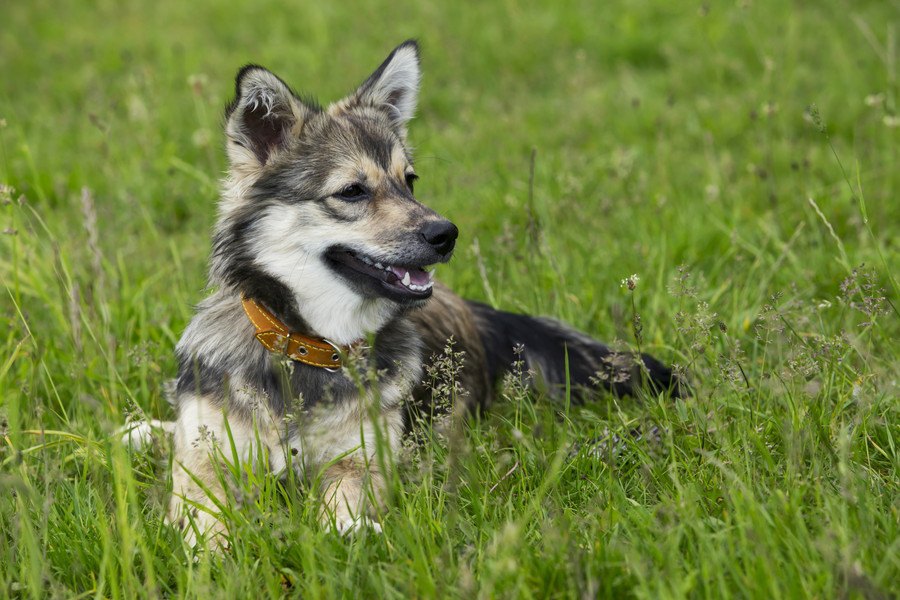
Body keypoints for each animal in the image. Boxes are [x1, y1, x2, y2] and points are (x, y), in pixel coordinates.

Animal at [123, 39, 680, 540]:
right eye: (352, 191)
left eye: (409, 180)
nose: (446, 234)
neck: (309, 346)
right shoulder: (204, 464)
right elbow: (203, 519)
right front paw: (209, 555)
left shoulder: (362, 461)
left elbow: (341, 509)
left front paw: (347, 534)